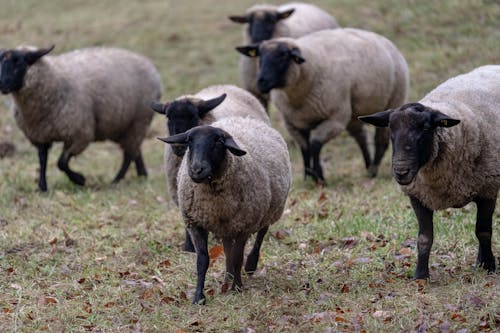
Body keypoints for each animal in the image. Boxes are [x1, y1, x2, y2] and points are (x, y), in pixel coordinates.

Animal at [0, 44, 162, 189]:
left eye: (19, 63)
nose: (2, 85)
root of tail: (150, 66)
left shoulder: (79, 134)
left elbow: (61, 163)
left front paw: (79, 179)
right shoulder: (40, 136)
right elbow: (43, 160)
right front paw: (42, 187)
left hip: (139, 121)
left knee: (128, 155)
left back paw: (116, 180)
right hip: (122, 125)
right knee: (135, 150)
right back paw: (142, 175)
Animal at [151, 84, 270, 250]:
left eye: (194, 116)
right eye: (168, 117)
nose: (178, 146)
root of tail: (226, 85)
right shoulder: (185, 195)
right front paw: (189, 247)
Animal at [158, 116, 292, 304]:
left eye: (219, 141)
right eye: (189, 141)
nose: (196, 170)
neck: (214, 201)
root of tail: (245, 118)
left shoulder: (245, 225)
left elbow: (237, 257)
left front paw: (237, 288)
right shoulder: (196, 223)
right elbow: (203, 261)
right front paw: (199, 297)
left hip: (269, 210)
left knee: (260, 235)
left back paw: (249, 266)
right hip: (227, 225)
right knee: (228, 248)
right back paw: (228, 278)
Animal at [236, 27, 408, 184]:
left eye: (284, 55)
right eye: (259, 55)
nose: (261, 82)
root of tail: (382, 38)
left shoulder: (335, 119)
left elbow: (315, 145)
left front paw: (319, 177)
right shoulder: (293, 124)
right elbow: (305, 149)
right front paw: (307, 177)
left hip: (391, 101)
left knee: (380, 141)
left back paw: (373, 171)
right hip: (353, 113)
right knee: (361, 137)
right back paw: (367, 167)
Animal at [360, 65, 500, 278]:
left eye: (426, 128)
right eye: (391, 128)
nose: (401, 171)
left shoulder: (487, 189)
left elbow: (483, 232)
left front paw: (489, 266)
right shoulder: (419, 196)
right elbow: (424, 239)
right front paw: (420, 275)